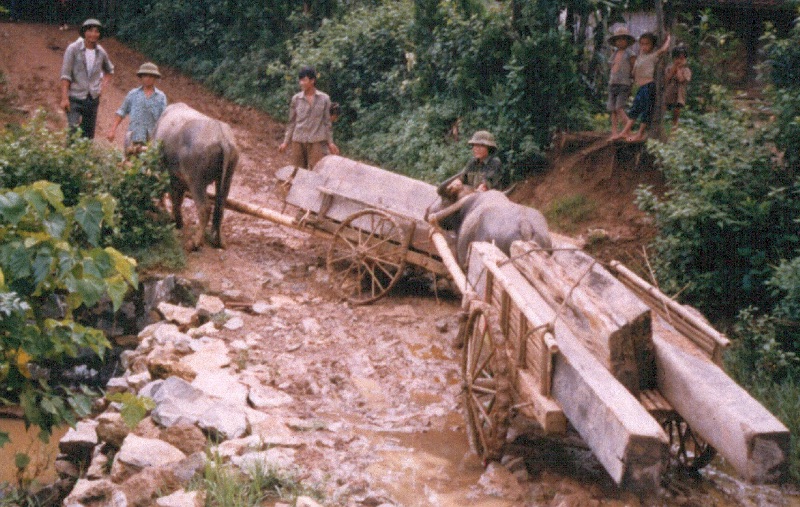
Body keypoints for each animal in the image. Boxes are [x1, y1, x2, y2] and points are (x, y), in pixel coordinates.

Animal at [155, 102, 238, 250]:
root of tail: (222, 138)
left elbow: (174, 196)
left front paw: (175, 220)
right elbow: (178, 198)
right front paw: (177, 221)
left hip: (196, 181)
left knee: (204, 208)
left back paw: (195, 242)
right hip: (227, 177)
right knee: (220, 207)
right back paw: (219, 241)